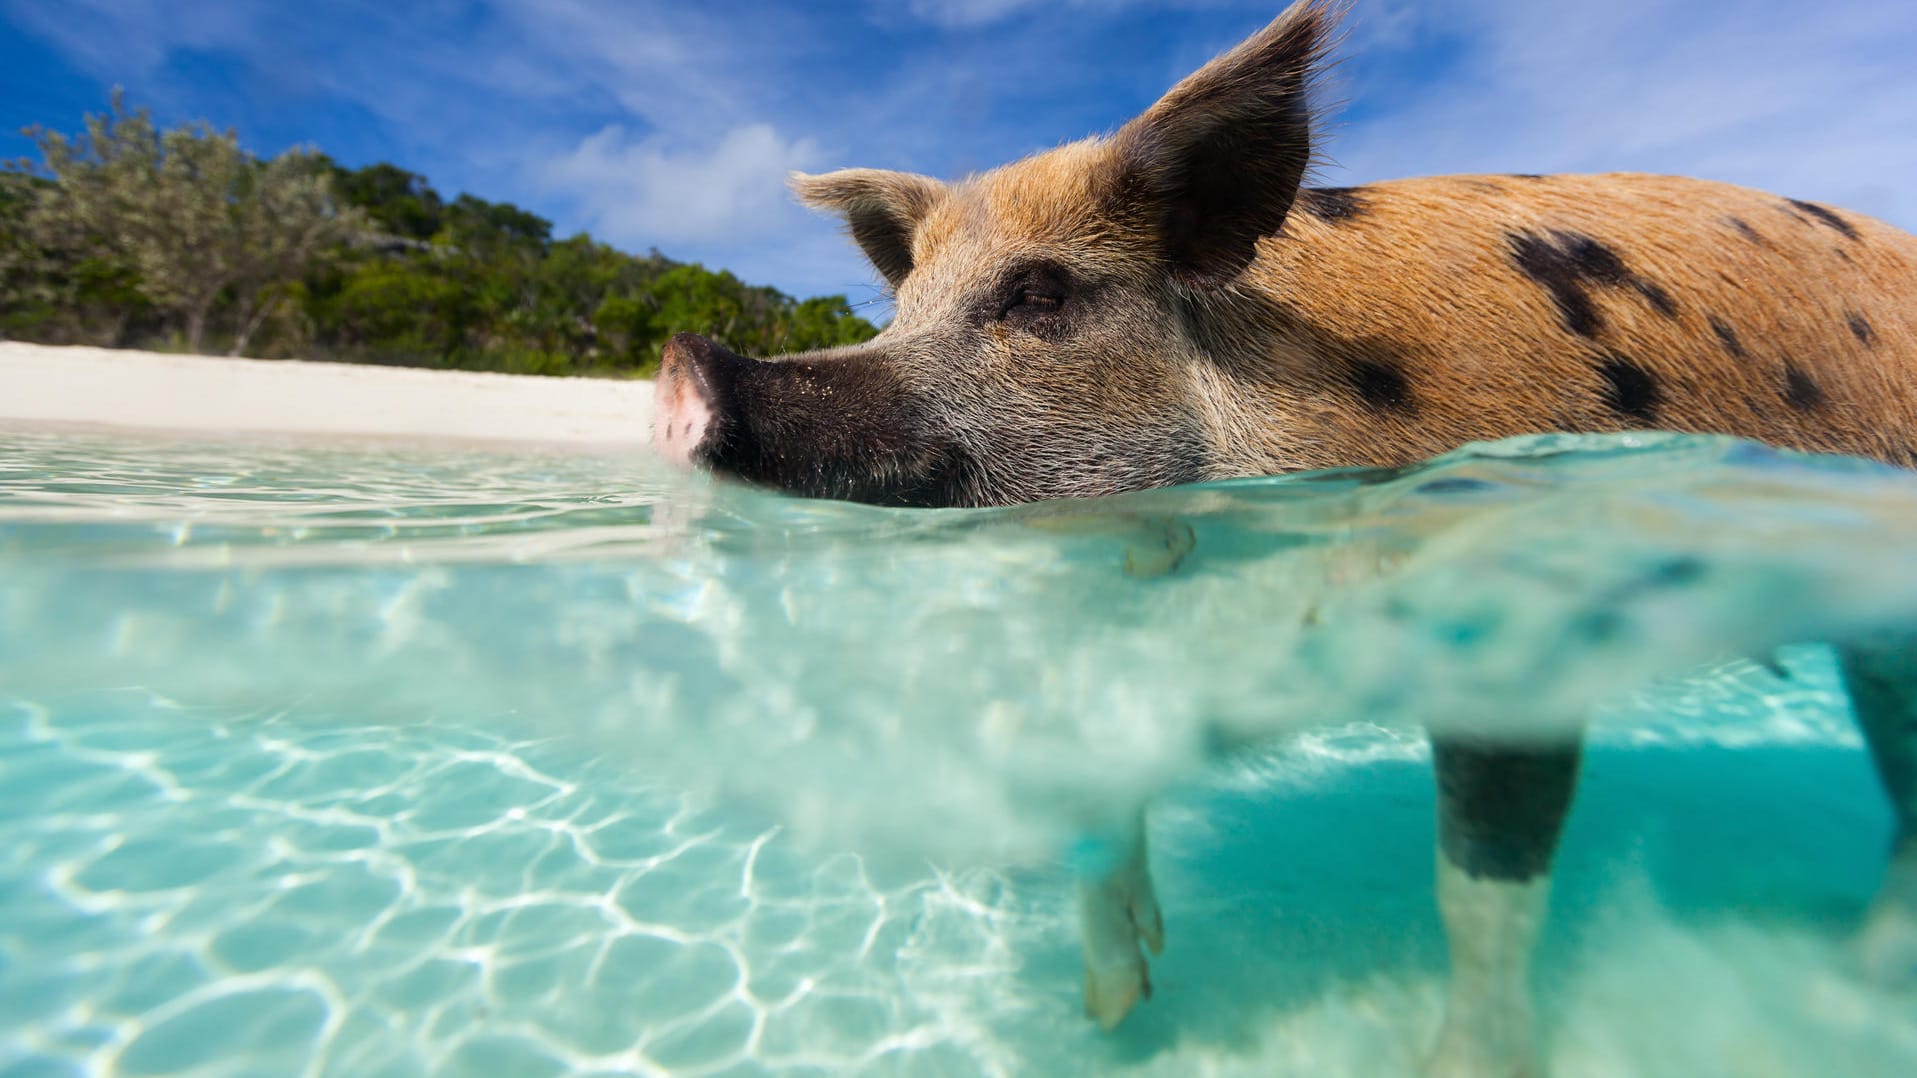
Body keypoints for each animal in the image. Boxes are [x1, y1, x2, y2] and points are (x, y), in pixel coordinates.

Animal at [647, 0, 1917, 1066]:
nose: (685, 362)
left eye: (1041, 295)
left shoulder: (1518, 631)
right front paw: (1114, 1012)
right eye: (899, 310)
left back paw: (1843, 988)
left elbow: (1482, 889)